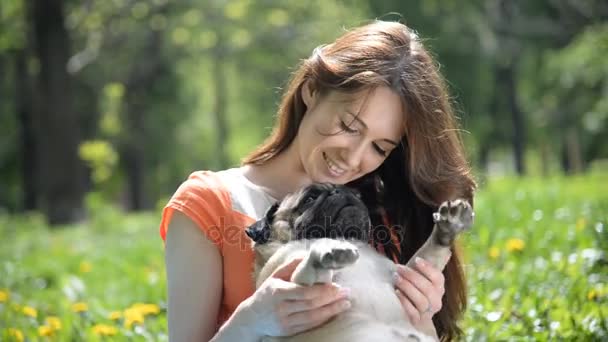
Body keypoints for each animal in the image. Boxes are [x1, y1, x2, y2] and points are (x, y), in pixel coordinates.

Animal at [245, 184, 472, 342]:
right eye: (309, 198)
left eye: (358, 195)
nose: (341, 191)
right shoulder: (299, 289)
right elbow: (308, 266)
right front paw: (327, 252)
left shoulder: (403, 279)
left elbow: (428, 252)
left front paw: (447, 228)